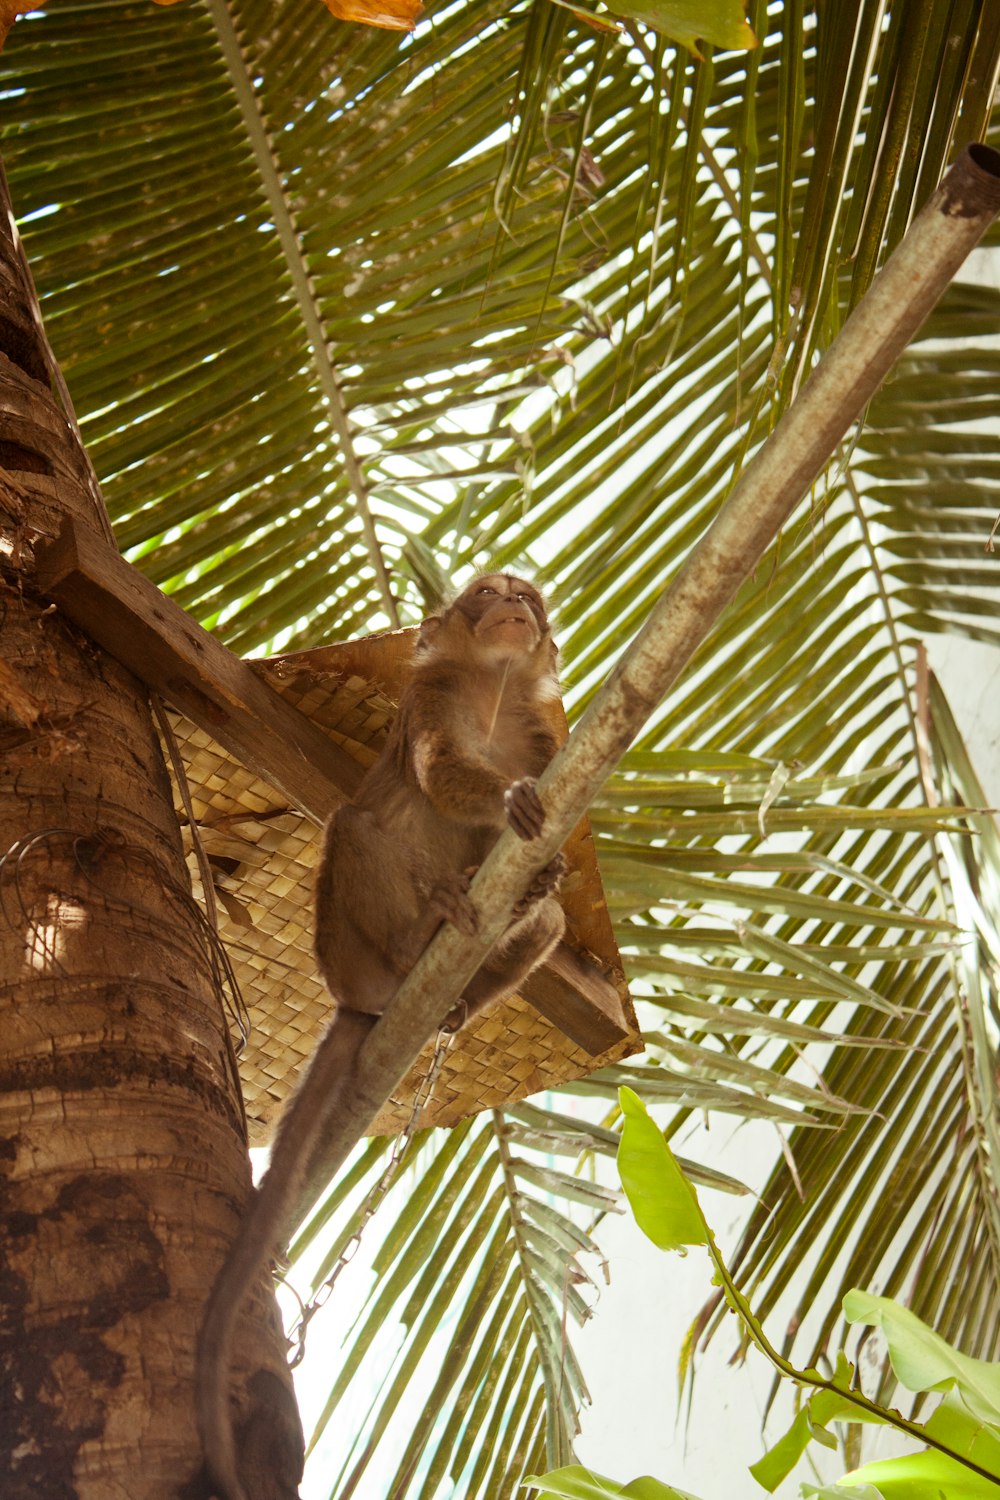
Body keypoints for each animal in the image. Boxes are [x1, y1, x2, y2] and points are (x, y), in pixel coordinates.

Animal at [197, 570, 563, 1500]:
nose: (513, 603)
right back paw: (414, 943)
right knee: (355, 827)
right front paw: (504, 801)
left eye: (526, 595)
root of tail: (359, 998)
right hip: (345, 951)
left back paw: (472, 978)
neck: (492, 688)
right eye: (487, 592)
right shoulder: (429, 697)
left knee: (539, 917)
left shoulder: (543, 722)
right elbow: (437, 772)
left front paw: (544, 863)